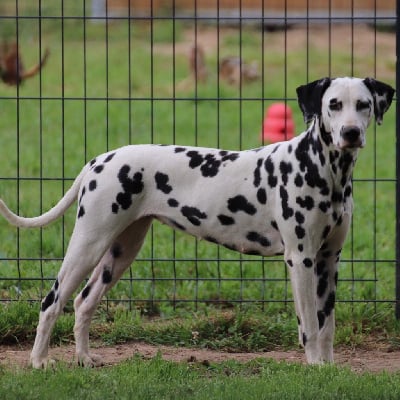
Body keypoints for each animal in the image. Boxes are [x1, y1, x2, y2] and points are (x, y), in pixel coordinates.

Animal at [0, 76, 394, 368]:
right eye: (333, 104)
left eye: (363, 104)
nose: (350, 133)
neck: (322, 168)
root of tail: (100, 159)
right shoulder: (302, 259)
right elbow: (310, 324)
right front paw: (314, 366)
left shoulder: (329, 260)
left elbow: (327, 324)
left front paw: (328, 368)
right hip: (88, 244)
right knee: (52, 301)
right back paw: (39, 361)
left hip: (121, 251)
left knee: (83, 302)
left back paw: (83, 359)